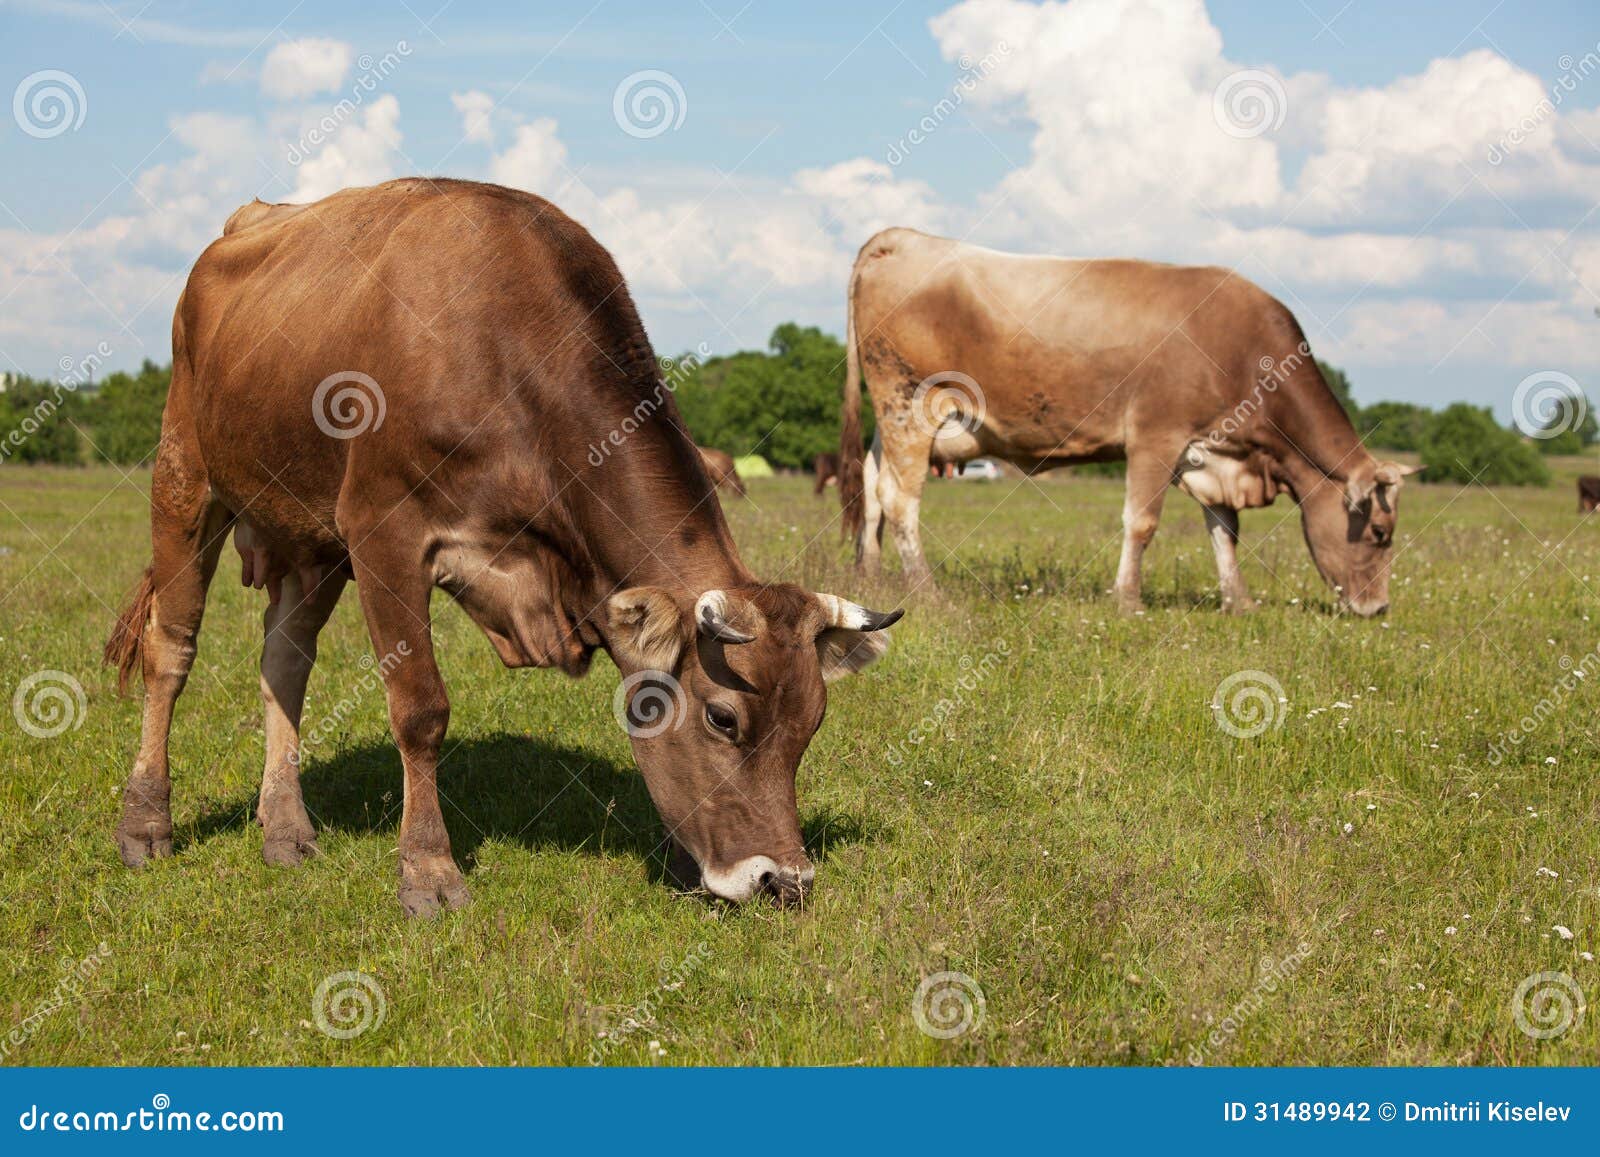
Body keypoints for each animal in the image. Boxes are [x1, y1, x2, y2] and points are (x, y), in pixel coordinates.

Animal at [103, 179, 903, 917]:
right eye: (723, 718)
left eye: (813, 722)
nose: (783, 881)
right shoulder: (383, 532)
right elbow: (420, 708)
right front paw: (428, 871)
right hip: (185, 478)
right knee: (171, 649)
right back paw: (146, 822)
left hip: (306, 537)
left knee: (284, 662)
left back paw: (286, 827)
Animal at [839, 228, 1418, 616]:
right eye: (1381, 532)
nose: (1379, 609)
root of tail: (901, 237)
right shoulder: (1156, 437)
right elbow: (1141, 522)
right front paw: (1128, 600)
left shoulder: (1209, 452)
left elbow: (1224, 530)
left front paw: (1239, 601)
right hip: (909, 402)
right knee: (900, 499)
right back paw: (927, 591)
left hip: (890, 419)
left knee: (871, 484)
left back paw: (870, 578)